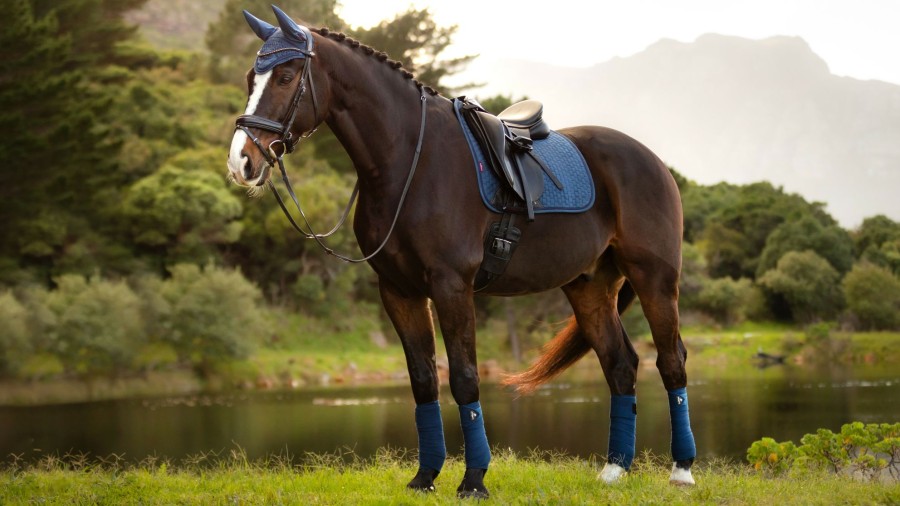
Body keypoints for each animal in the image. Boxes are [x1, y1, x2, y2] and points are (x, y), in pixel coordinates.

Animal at [225, 5, 696, 500]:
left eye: (286, 76)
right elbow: (423, 381)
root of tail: (653, 161)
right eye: (251, 78)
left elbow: (465, 379)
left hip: (655, 280)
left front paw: (473, 480)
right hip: (589, 288)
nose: (242, 162)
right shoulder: (399, 291)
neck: (408, 163)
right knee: (620, 365)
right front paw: (425, 476)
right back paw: (614, 469)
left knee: (671, 362)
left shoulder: (451, 287)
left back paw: (682, 470)